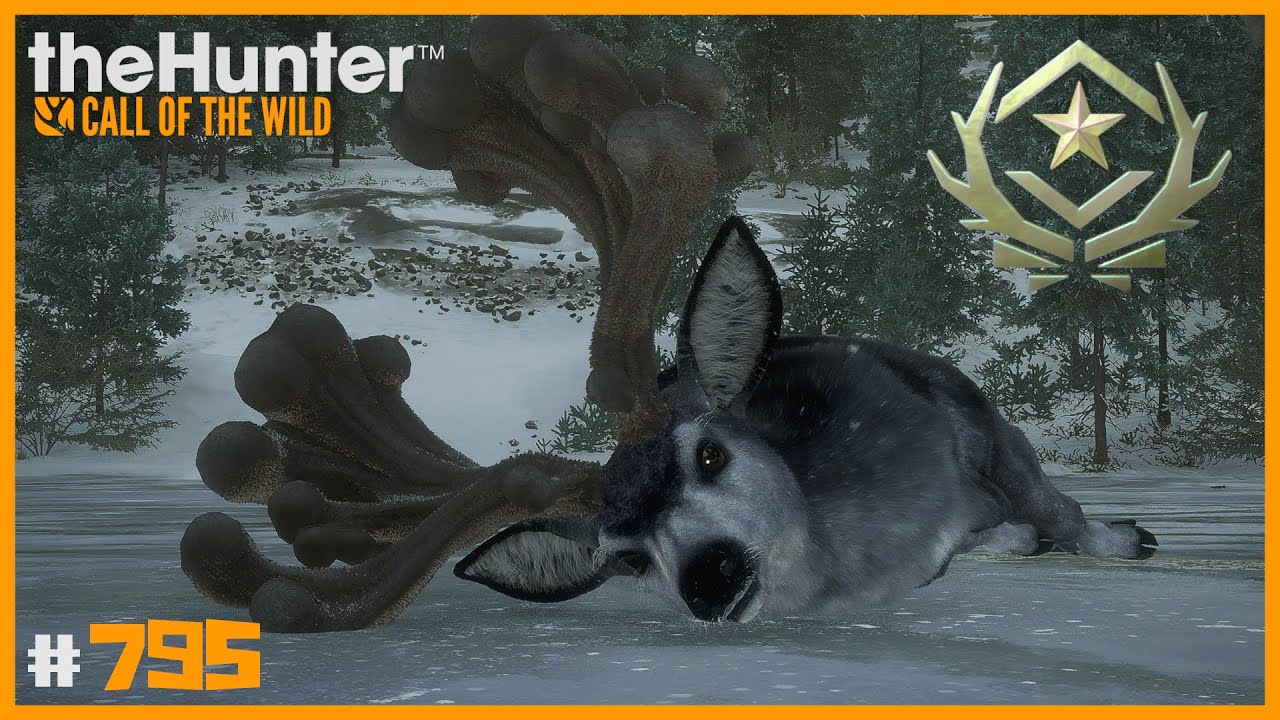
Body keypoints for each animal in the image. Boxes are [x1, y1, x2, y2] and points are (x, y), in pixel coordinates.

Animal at [179, 16, 1155, 632]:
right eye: (627, 557)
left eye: (711, 454)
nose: (708, 576)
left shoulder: (979, 440)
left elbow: (1057, 512)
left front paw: (1114, 536)